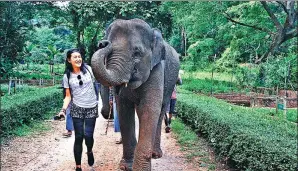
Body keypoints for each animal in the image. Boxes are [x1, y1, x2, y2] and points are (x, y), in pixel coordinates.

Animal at [91, 18, 179, 171]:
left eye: (137, 53)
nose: (103, 43)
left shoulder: (157, 69)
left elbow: (149, 110)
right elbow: (124, 110)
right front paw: (126, 166)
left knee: (161, 109)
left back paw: (156, 154)